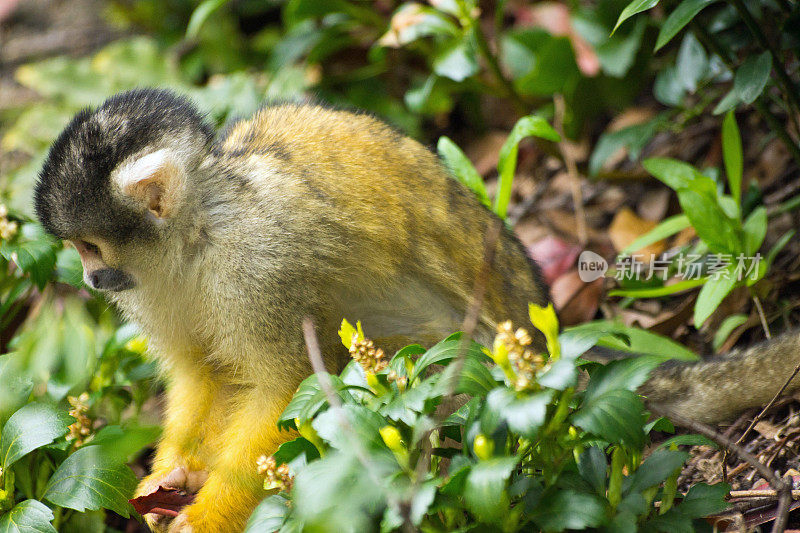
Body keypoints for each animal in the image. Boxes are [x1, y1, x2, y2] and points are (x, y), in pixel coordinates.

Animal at [36, 89, 800, 528]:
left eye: (88, 244)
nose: (91, 276)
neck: (197, 233)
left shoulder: (259, 258)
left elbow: (286, 384)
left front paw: (203, 514)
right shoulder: (149, 284)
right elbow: (200, 374)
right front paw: (170, 475)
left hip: (473, 366)